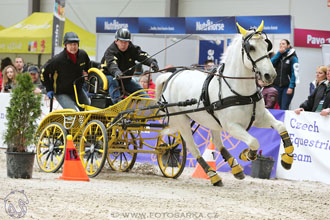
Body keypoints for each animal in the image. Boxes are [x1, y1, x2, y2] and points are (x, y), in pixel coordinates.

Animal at [156, 20, 296, 186]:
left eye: (266, 45)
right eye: (251, 47)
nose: (270, 75)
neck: (241, 92)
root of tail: (171, 76)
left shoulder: (260, 118)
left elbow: (281, 126)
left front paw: (287, 159)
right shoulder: (232, 126)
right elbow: (254, 141)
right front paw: (247, 155)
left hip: (211, 121)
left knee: (217, 142)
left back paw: (236, 169)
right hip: (182, 120)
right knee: (192, 147)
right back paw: (214, 176)